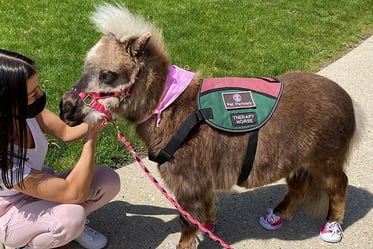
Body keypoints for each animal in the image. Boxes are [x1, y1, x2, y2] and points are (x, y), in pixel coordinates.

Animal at [59, 3, 356, 249]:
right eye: (85, 68)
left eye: (108, 75)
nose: (65, 108)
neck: (172, 110)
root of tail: (347, 100)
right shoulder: (201, 182)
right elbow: (205, 208)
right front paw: (209, 227)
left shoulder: (188, 183)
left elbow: (187, 221)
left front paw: (189, 242)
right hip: (300, 161)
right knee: (299, 186)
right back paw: (276, 216)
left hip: (325, 161)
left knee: (339, 185)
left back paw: (331, 228)